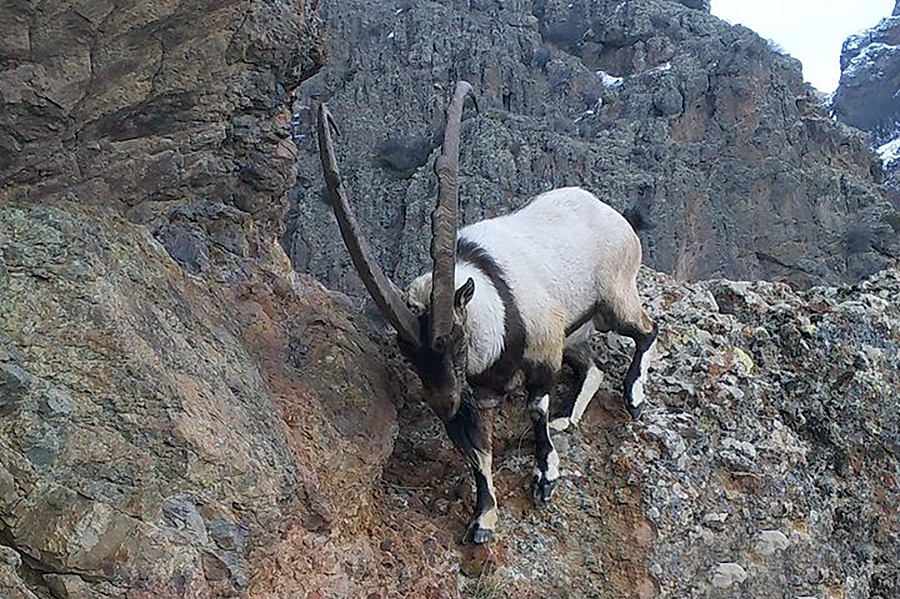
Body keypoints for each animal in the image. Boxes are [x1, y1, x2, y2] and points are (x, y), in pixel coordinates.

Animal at [316, 81, 657, 544]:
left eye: (454, 337)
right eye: (407, 351)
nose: (443, 404)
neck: (494, 306)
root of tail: (612, 214)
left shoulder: (544, 350)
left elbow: (535, 409)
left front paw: (545, 477)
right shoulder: (480, 394)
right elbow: (477, 451)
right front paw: (483, 520)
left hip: (614, 299)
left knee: (647, 331)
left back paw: (633, 396)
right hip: (575, 336)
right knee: (593, 366)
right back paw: (568, 418)